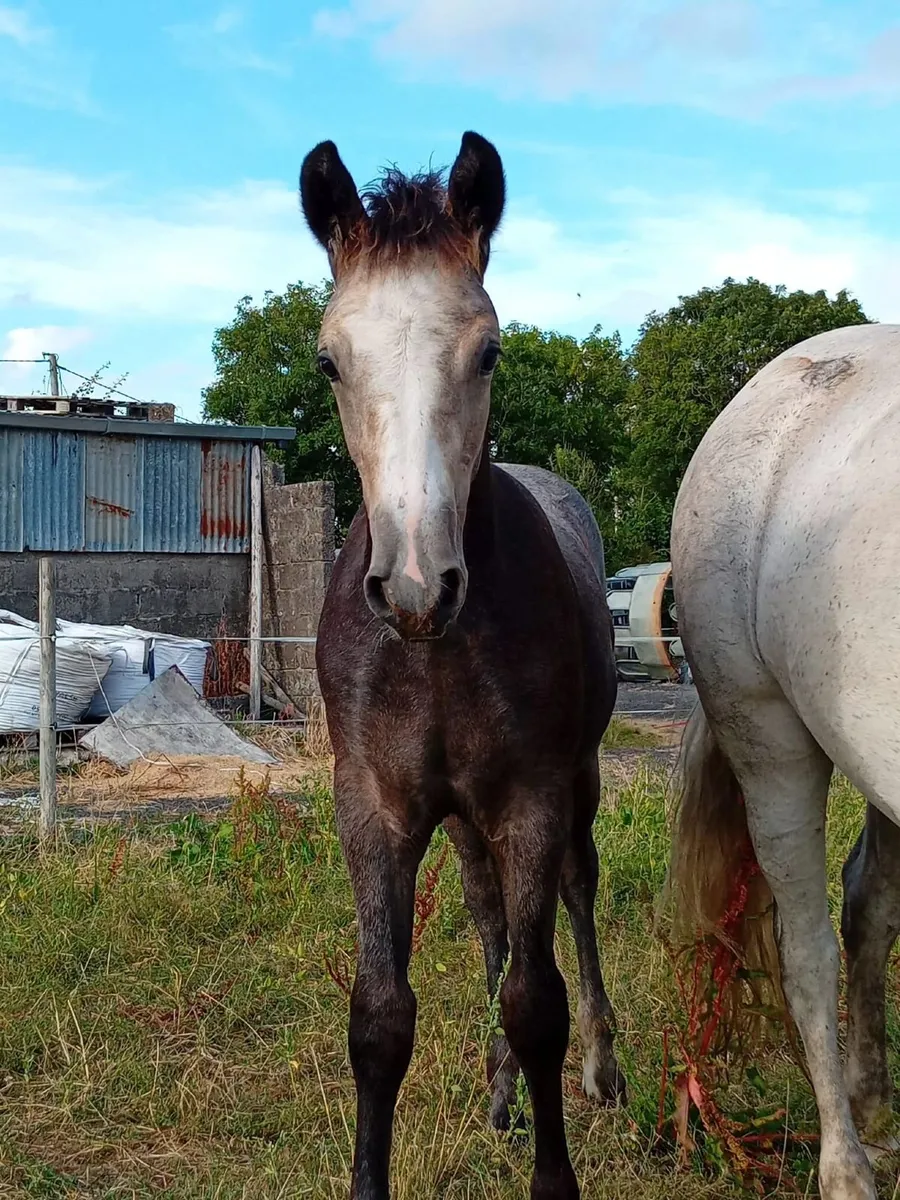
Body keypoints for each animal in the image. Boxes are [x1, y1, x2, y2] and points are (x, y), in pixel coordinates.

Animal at [299, 132, 625, 1199]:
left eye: (490, 350)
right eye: (330, 360)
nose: (414, 584)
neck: (430, 652)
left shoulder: (532, 798)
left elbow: (537, 1002)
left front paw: (557, 1175)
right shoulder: (373, 806)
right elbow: (379, 1017)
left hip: (575, 785)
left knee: (576, 896)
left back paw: (604, 1071)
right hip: (464, 820)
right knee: (488, 915)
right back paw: (498, 1094)